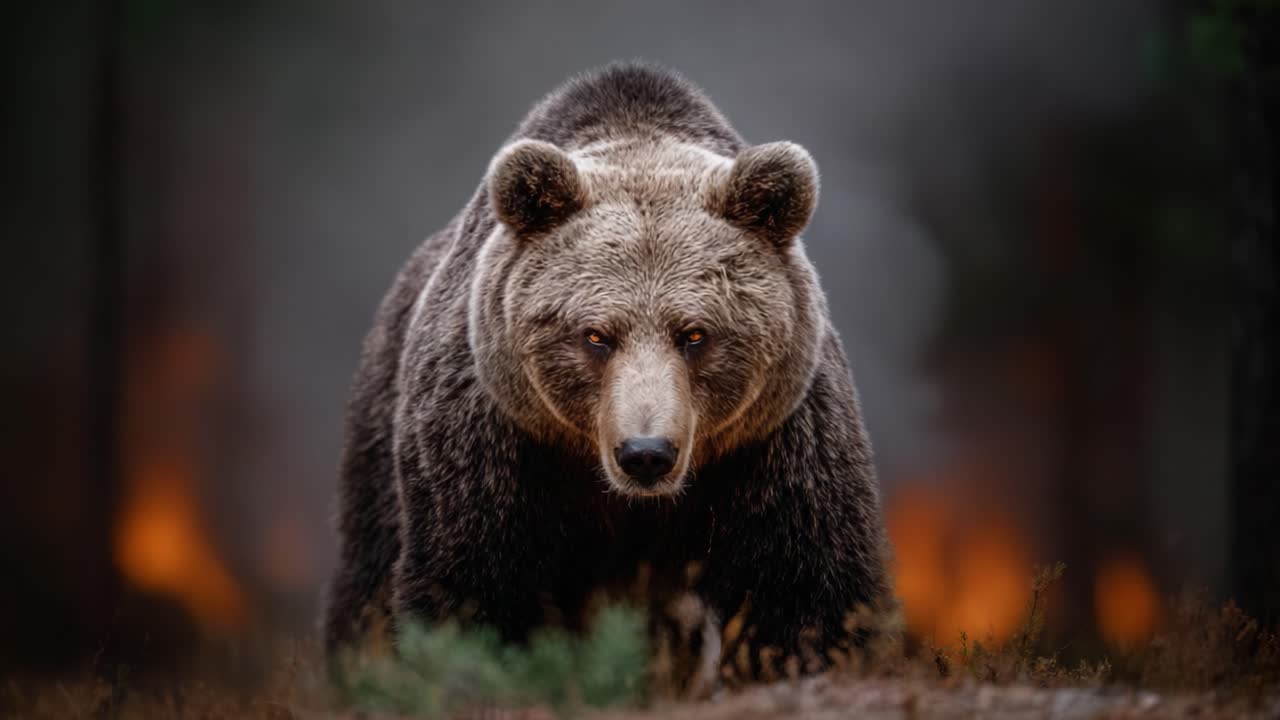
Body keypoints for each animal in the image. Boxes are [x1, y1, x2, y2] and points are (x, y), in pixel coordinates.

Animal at [324, 61, 891, 681]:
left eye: (695, 333)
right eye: (595, 335)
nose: (645, 453)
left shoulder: (774, 442)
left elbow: (804, 586)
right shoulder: (491, 438)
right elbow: (473, 581)